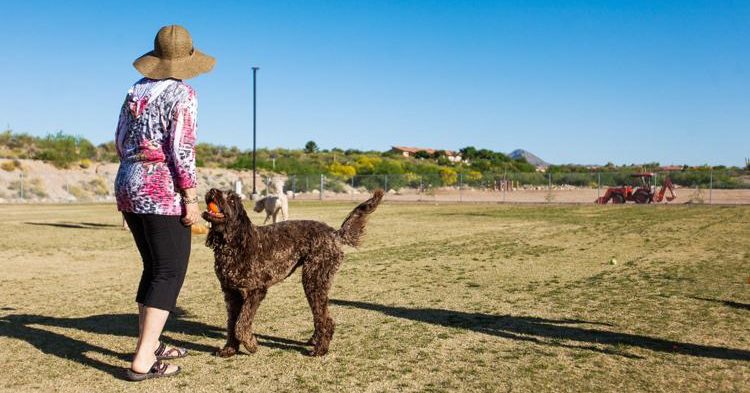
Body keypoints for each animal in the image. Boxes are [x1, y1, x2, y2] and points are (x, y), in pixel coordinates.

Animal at [203, 187, 384, 356]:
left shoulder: (256, 291)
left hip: (313, 280)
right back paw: (315, 340)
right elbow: (232, 324)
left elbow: (240, 325)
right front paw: (229, 349)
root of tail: (334, 234)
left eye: (231, 199)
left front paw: (251, 344)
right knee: (321, 316)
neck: (233, 244)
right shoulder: (231, 294)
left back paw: (320, 349)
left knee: (326, 320)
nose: (212, 190)